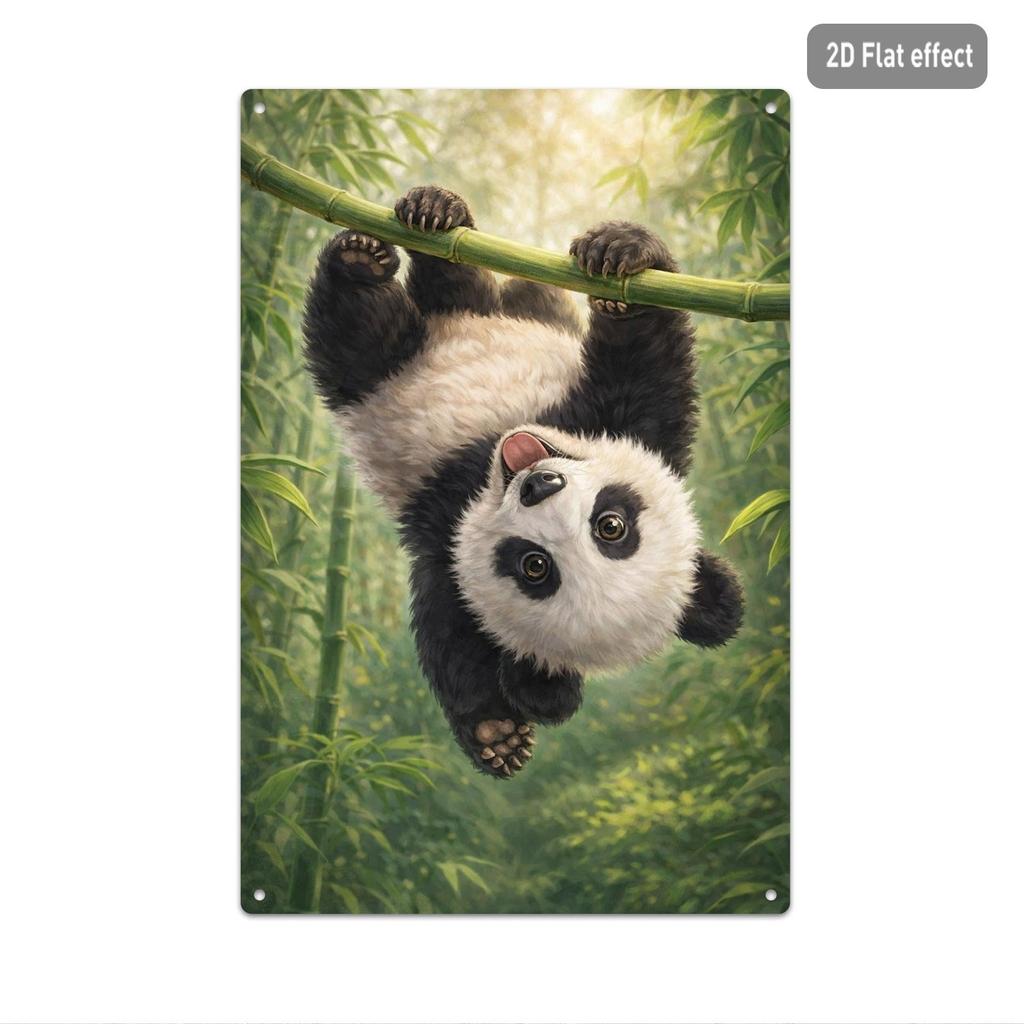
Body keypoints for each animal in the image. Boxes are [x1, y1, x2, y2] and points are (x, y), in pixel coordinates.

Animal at [303, 184, 744, 779]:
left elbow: (449, 638)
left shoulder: (446, 558)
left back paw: (363, 267)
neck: (481, 466)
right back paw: (425, 221)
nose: (538, 484)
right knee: (483, 289)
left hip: (382, 376)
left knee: (360, 338)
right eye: (613, 526)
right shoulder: (634, 425)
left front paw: (497, 732)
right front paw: (622, 255)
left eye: (535, 567)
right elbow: (648, 361)